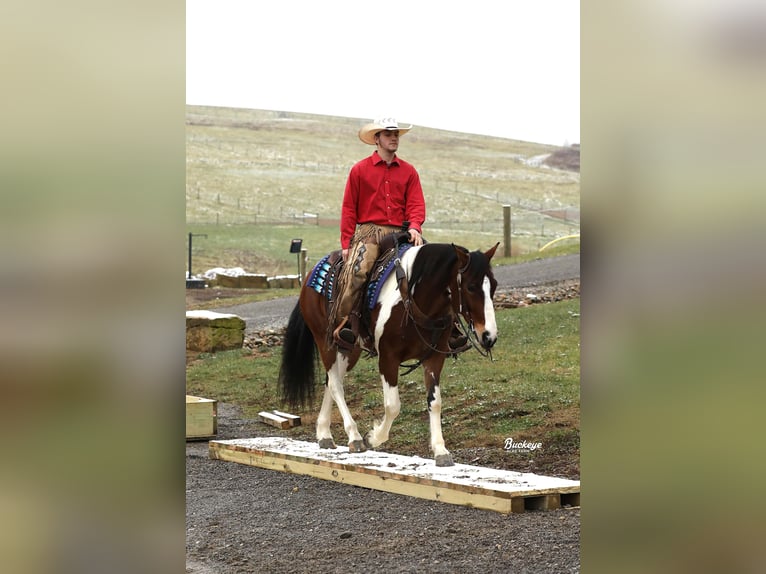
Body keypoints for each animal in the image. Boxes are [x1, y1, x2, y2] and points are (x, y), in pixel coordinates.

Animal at [280, 241, 500, 466]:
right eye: (470, 287)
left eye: (494, 285)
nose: (489, 336)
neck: (414, 300)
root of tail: (311, 274)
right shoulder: (388, 359)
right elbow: (393, 406)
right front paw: (373, 438)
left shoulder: (434, 358)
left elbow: (435, 402)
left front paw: (440, 450)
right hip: (326, 343)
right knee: (335, 385)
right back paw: (354, 437)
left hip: (349, 350)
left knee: (331, 381)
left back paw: (324, 433)